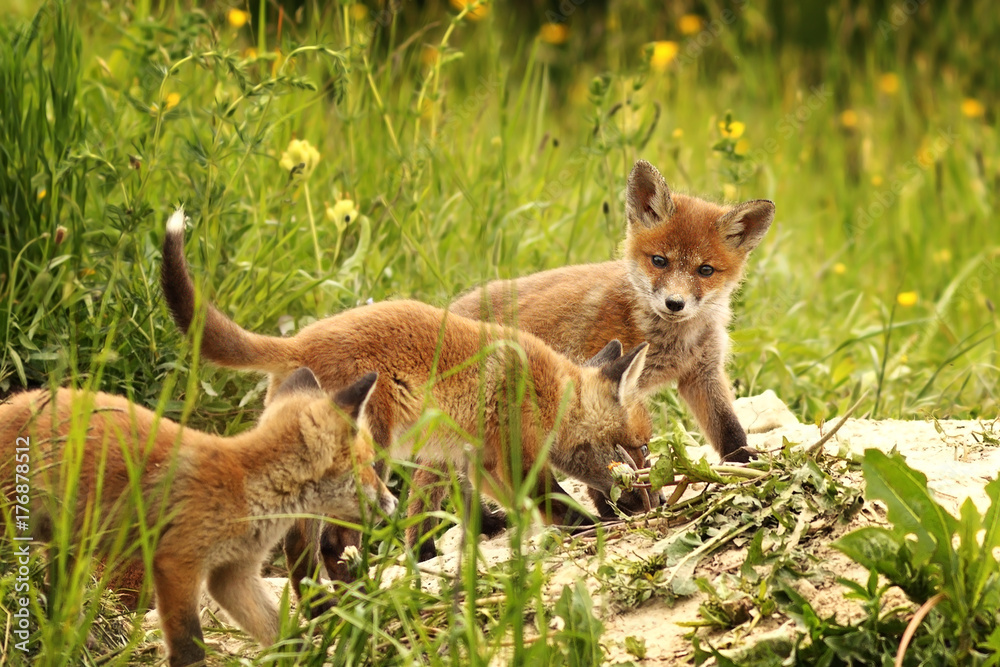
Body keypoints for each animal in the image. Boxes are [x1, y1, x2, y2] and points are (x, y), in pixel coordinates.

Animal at [0, 368, 395, 667]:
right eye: (369, 464)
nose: (393, 503)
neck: (249, 488)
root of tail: (12, 402)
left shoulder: (232, 576)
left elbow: (283, 637)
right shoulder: (177, 564)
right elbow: (190, 647)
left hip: (70, 548)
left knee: (58, 603)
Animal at [160, 208, 654, 608]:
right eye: (638, 448)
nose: (656, 502)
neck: (546, 390)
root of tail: (299, 341)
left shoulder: (479, 465)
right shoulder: (513, 460)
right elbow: (558, 504)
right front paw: (590, 528)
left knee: (301, 544)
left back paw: (323, 610)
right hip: (367, 458)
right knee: (329, 542)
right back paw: (355, 597)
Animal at [410, 159, 774, 546]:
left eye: (705, 270)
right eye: (659, 261)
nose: (675, 303)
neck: (666, 336)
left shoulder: (701, 373)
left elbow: (729, 430)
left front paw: (749, 469)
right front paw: (614, 511)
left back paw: (482, 525)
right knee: (427, 486)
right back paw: (425, 548)